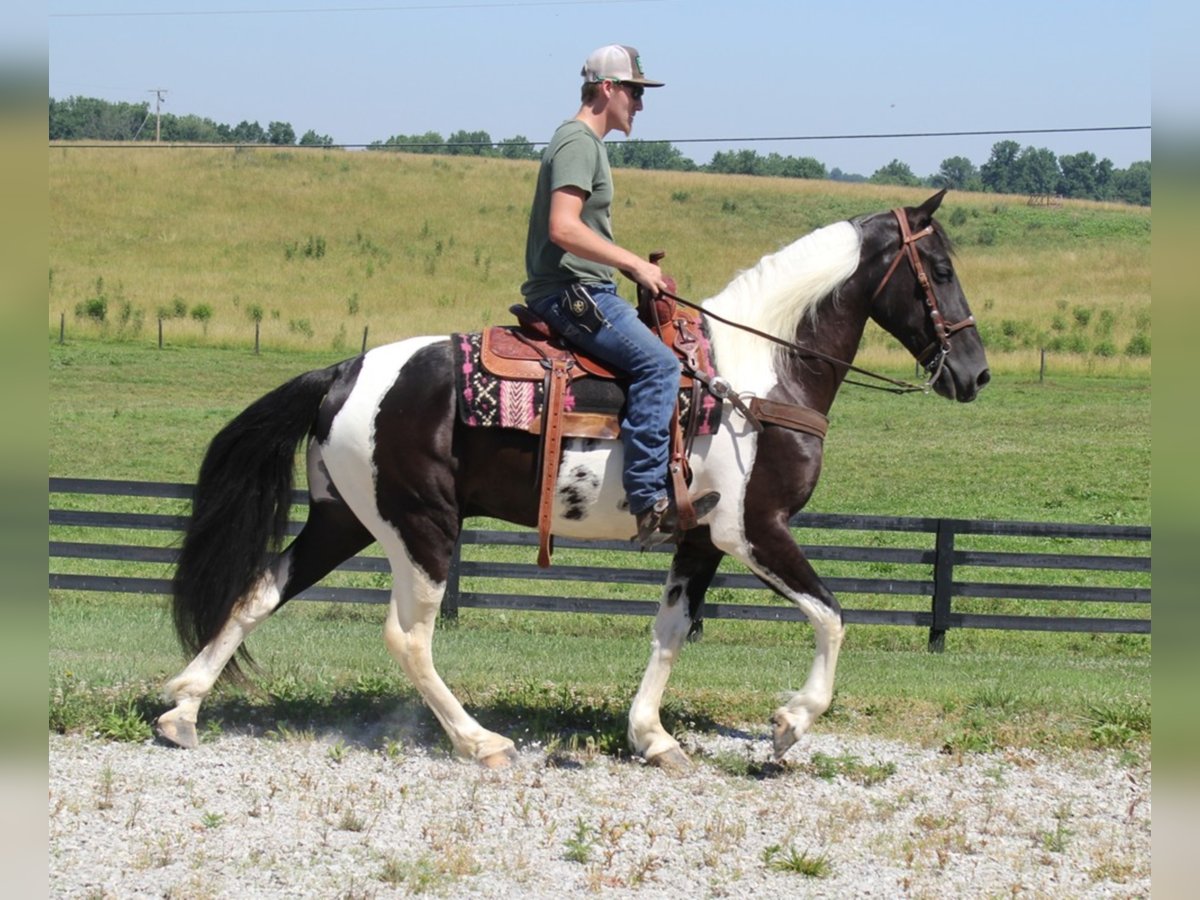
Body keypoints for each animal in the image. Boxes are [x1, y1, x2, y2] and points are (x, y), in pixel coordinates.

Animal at [154, 190, 988, 768]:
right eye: (942, 269)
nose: (975, 374)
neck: (756, 379)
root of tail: (343, 370)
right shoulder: (753, 529)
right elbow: (832, 616)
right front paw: (789, 725)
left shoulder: (700, 539)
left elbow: (671, 631)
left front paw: (652, 737)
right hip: (421, 526)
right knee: (407, 637)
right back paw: (480, 741)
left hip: (344, 518)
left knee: (257, 591)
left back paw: (182, 711)